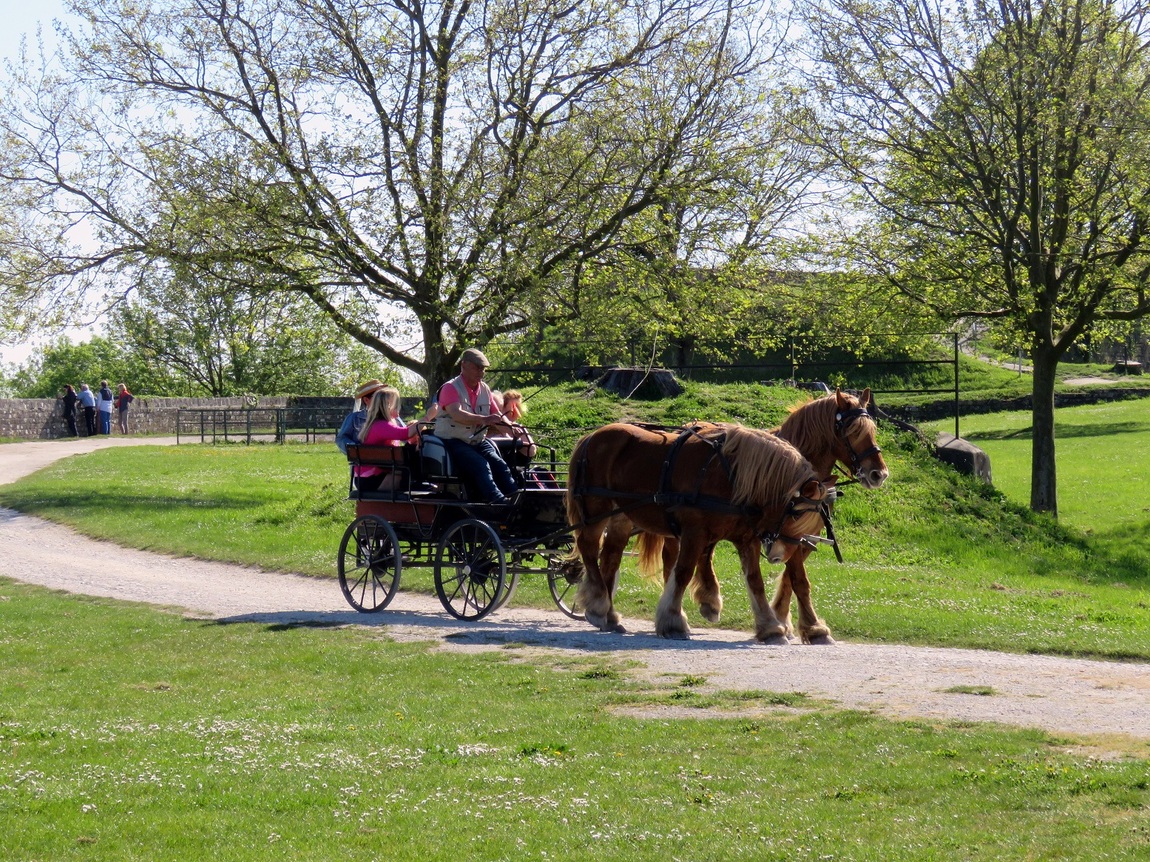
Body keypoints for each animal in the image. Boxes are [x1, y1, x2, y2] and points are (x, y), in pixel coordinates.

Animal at [570, 422, 832, 643]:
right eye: (796, 514)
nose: (780, 556)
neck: (729, 474)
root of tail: (591, 436)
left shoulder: (745, 539)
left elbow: (755, 581)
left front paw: (770, 628)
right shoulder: (694, 533)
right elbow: (683, 572)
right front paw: (673, 622)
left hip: (620, 516)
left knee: (610, 557)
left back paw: (609, 615)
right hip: (596, 510)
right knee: (589, 549)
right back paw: (598, 605)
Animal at [639, 388, 887, 643]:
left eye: (872, 431)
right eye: (852, 432)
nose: (879, 474)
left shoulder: (798, 539)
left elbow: (792, 579)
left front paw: (786, 620)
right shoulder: (783, 535)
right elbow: (798, 579)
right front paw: (812, 628)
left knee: (705, 554)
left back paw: (709, 599)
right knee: (674, 558)